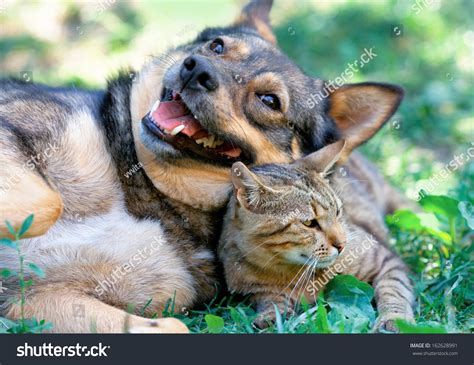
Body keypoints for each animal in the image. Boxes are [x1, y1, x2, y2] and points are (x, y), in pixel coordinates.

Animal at [218, 141, 414, 332]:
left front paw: (394, 319)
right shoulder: (256, 291)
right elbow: (271, 301)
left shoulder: (386, 261)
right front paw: (271, 316)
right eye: (309, 223)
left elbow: (394, 290)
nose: (342, 244)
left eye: (337, 212)